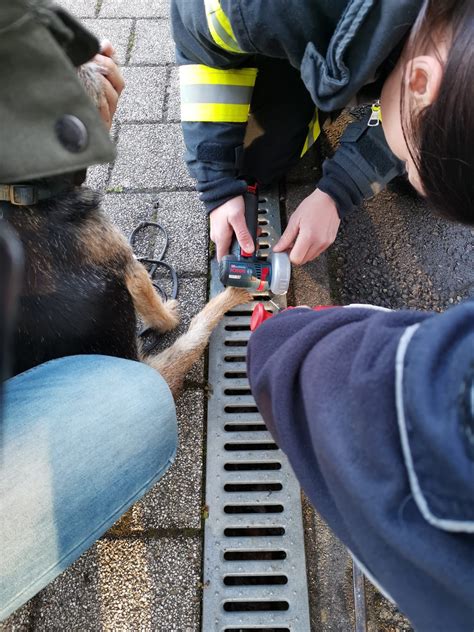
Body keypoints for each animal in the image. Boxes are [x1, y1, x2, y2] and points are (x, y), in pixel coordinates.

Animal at [4, 60, 252, 396]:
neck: (17, 193)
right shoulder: (128, 265)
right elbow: (151, 302)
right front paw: (166, 316)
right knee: (197, 330)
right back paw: (231, 296)